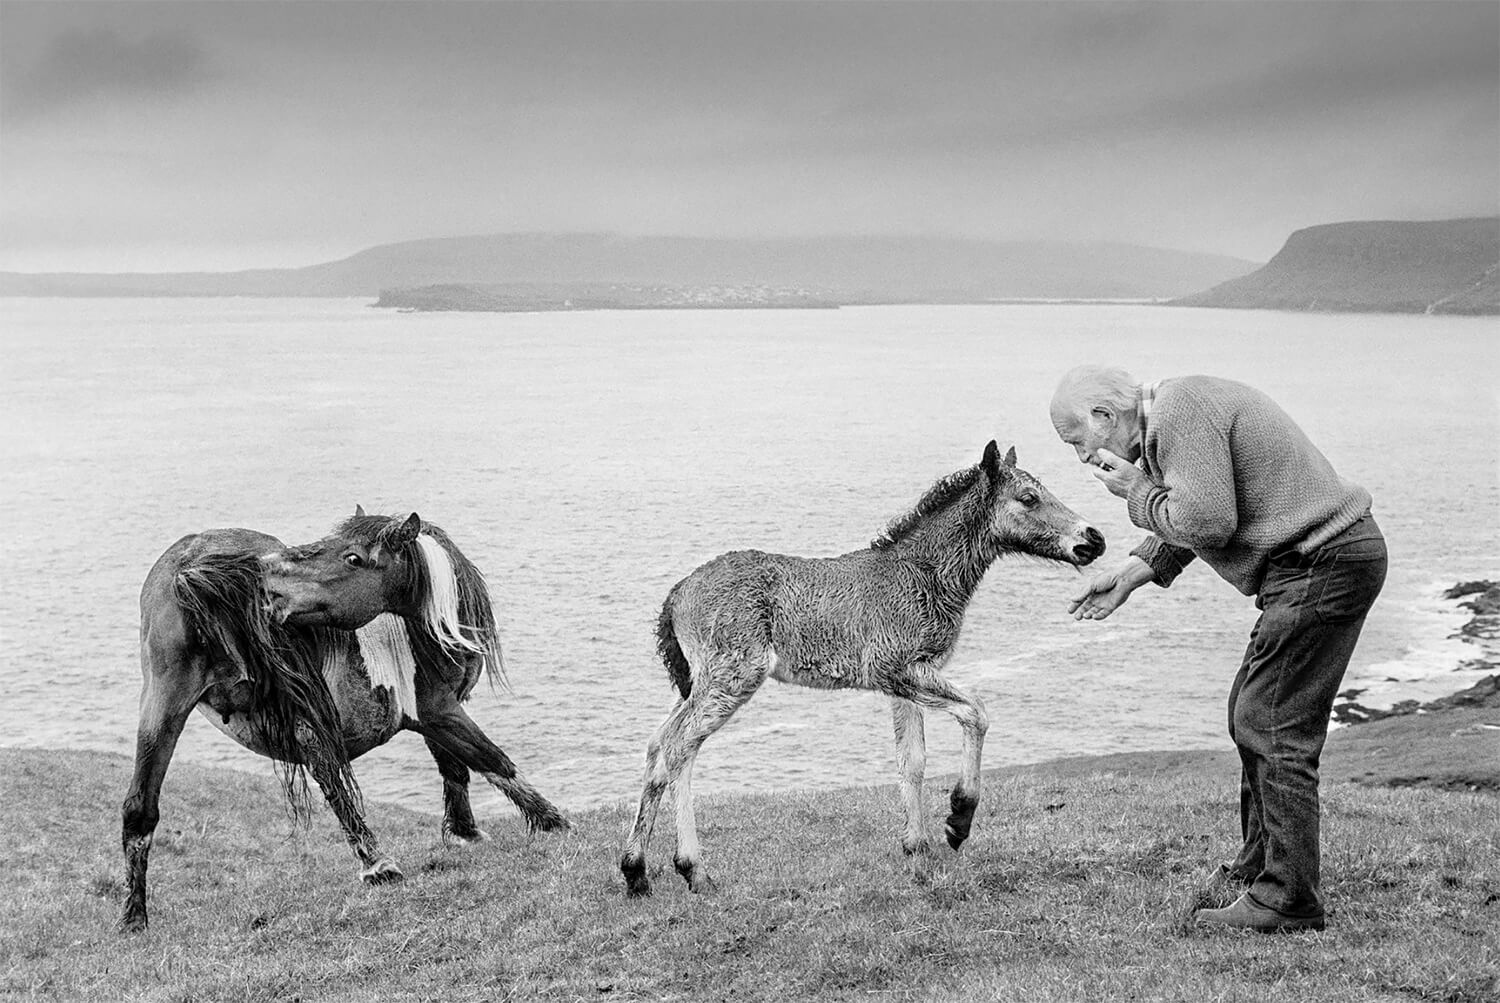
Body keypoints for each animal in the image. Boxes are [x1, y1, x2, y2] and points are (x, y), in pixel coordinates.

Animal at [121, 509, 567, 929]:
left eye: (352, 557)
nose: (270, 589)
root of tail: (192, 565)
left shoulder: (433, 716)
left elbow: (453, 767)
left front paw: (465, 833)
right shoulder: (438, 710)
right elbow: (491, 760)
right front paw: (552, 822)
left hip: (164, 705)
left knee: (140, 807)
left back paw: (133, 918)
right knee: (333, 782)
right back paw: (378, 864)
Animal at [618, 440, 1104, 893]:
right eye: (1028, 498)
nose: (1093, 539)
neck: (923, 574)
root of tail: (676, 596)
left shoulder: (905, 683)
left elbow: (912, 760)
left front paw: (916, 852)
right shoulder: (898, 669)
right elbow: (976, 712)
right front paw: (958, 819)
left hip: (699, 682)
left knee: (658, 743)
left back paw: (635, 871)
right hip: (733, 676)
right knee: (680, 746)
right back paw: (693, 869)